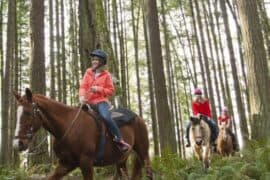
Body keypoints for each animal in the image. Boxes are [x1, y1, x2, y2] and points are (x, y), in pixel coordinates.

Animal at [13, 88, 152, 179]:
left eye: (27, 113)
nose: (17, 143)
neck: (68, 127)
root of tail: (138, 117)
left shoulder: (86, 163)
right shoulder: (66, 164)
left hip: (143, 153)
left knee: (149, 172)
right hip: (121, 160)